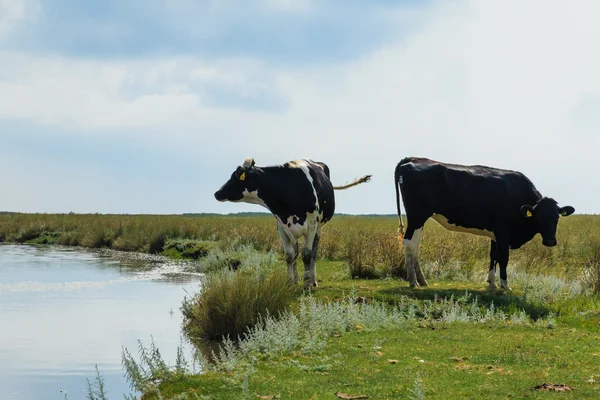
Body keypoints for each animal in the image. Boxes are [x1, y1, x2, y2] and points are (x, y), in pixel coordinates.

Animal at [213, 158, 372, 290]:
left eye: (236, 176)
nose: (217, 193)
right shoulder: (281, 226)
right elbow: (289, 255)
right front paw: (289, 282)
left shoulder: (312, 225)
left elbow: (307, 254)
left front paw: (307, 283)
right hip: (292, 231)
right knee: (295, 252)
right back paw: (296, 280)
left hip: (318, 228)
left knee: (314, 253)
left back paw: (313, 281)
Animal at [394, 156, 576, 290]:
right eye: (539, 217)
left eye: (557, 217)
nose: (550, 241)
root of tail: (412, 159)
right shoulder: (503, 231)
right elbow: (504, 258)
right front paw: (505, 285)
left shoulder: (495, 233)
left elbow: (493, 256)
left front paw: (492, 283)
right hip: (417, 215)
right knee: (409, 243)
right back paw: (413, 281)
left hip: (419, 219)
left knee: (416, 246)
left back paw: (422, 280)